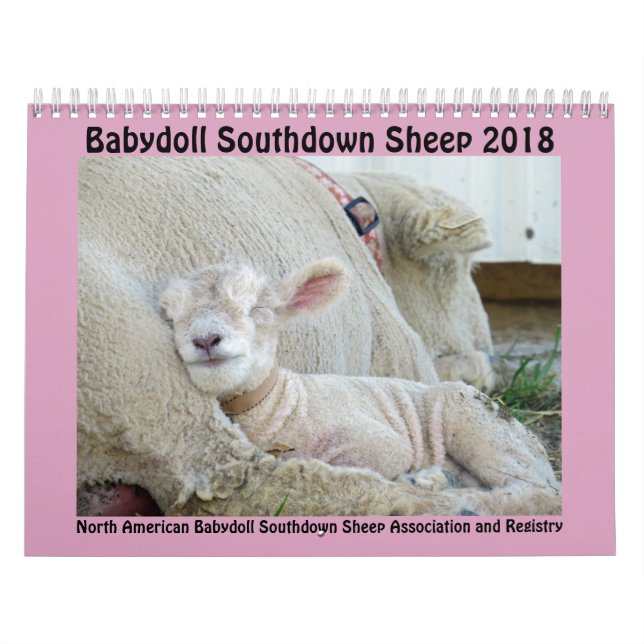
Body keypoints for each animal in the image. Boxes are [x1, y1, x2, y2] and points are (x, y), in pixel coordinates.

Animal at [159, 257, 560, 516]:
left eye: (258, 309)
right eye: (170, 316)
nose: (206, 339)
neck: (283, 405)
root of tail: (532, 439)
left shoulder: (381, 443)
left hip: (478, 423)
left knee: (536, 495)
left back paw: (455, 500)